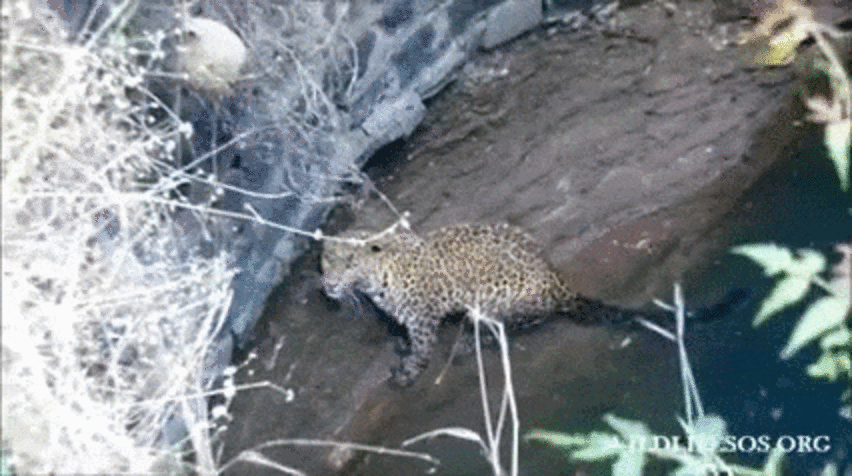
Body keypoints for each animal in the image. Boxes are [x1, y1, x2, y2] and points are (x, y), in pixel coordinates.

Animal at [320, 222, 670, 387]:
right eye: (325, 260)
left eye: (349, 263)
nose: (328, 285)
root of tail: (556, 281)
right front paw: (400, 345)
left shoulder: (423, 316)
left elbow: (422, 347)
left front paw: (407, 372)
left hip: (493, 298)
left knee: (513, 323)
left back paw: (466, 342)